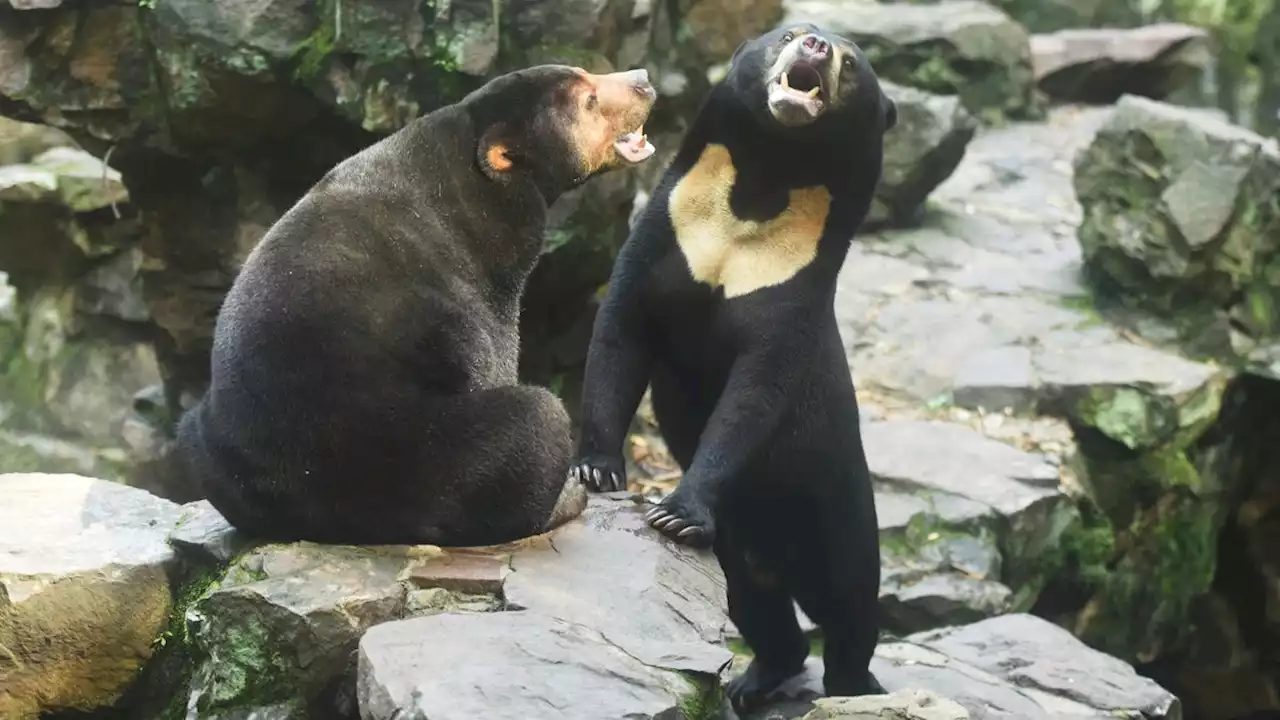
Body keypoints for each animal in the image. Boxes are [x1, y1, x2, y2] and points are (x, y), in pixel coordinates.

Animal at [177, 63, 660, 543]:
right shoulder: (491, 268)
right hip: (419, 451)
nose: (643, 79)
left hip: (208, 441)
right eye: (589, 101)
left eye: (589, 75)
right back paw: (565, 499)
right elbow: (490, 355)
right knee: (535, 421)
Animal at [565, 23, 896, 712]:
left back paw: (853, 687)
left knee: (849, 602)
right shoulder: (662, 238)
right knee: (755, 601)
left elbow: (755, 393)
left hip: (836, 503)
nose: (817, 45)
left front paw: (674, 512)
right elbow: (619, 333)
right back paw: (753, 680)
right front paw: (597, 469)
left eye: (852, 63)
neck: (762, 186)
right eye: (789, 33)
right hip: (746, 548)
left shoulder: (792, 286)